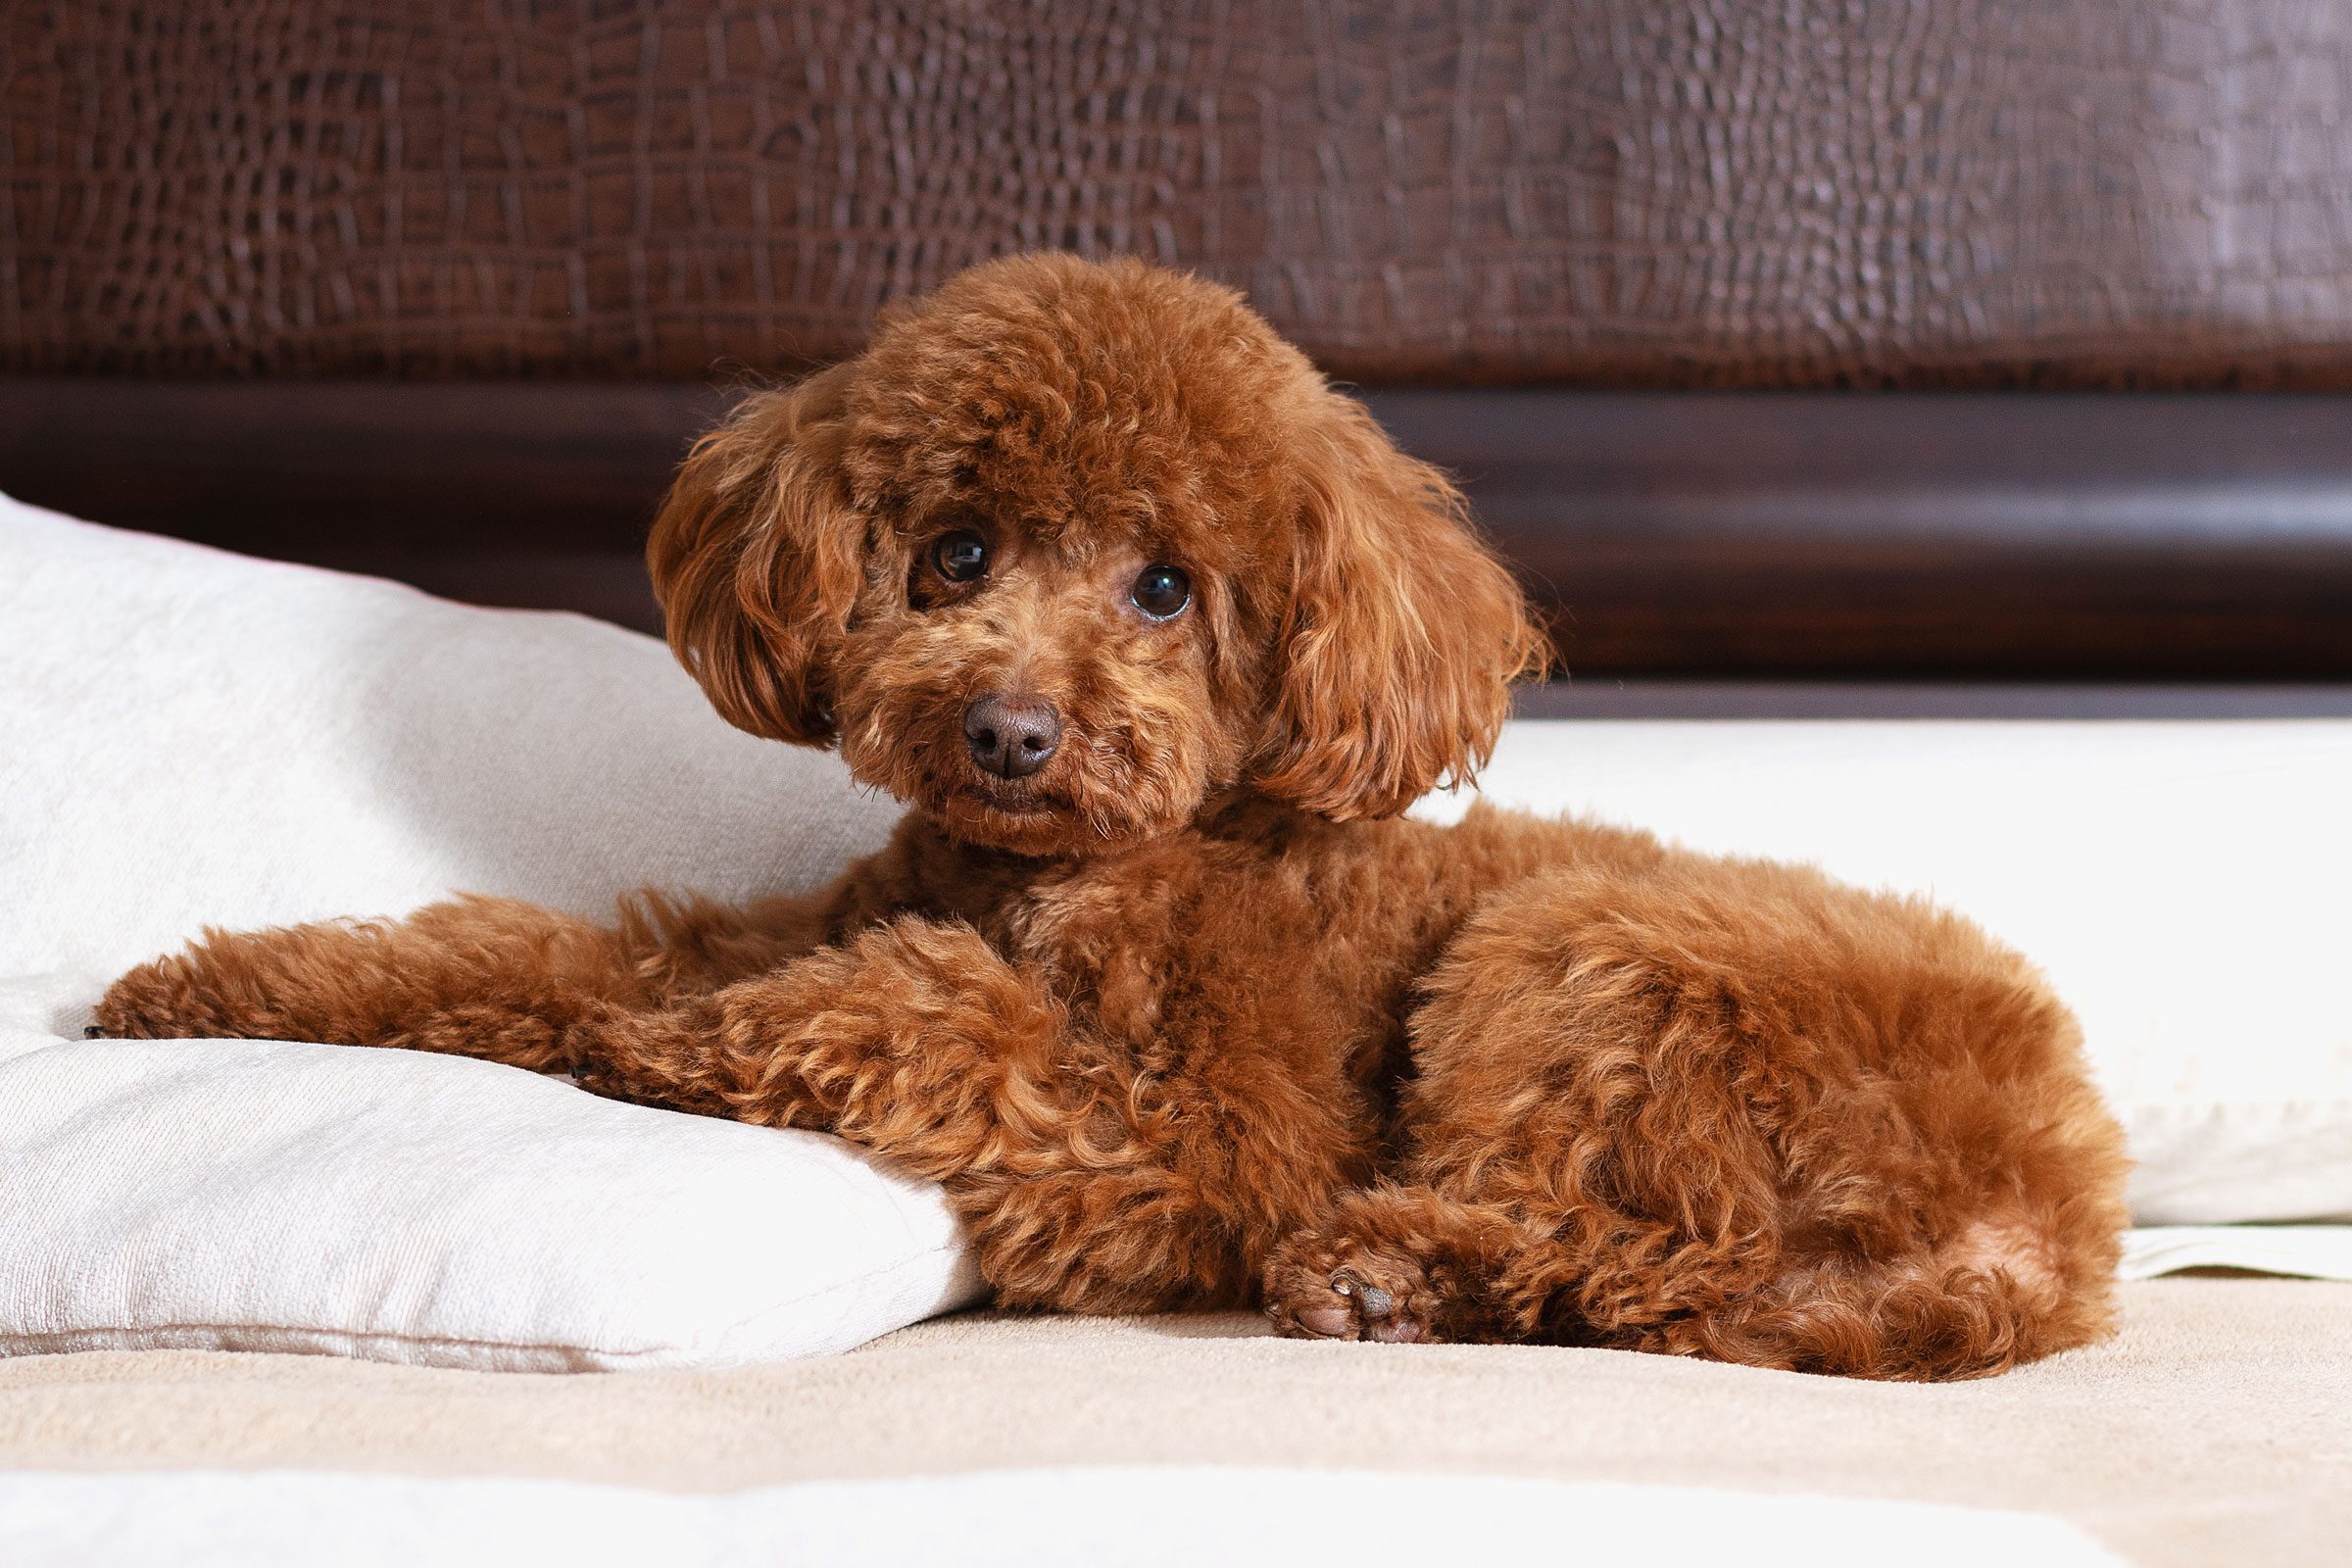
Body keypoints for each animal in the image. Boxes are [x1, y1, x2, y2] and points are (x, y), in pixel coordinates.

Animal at [96, 251, 2135, 1382]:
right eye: (956, 553)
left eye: (1167, 589)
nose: (1006, 729)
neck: (1062, 871)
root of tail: (2054, 1214)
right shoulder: (793, 908)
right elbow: (526, 948)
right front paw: (216, 985)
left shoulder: (1213, 1140)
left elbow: (937, 1025)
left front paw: (698, 1043)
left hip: (1576, 956)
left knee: (1668, 1254)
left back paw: (1390, 1274)